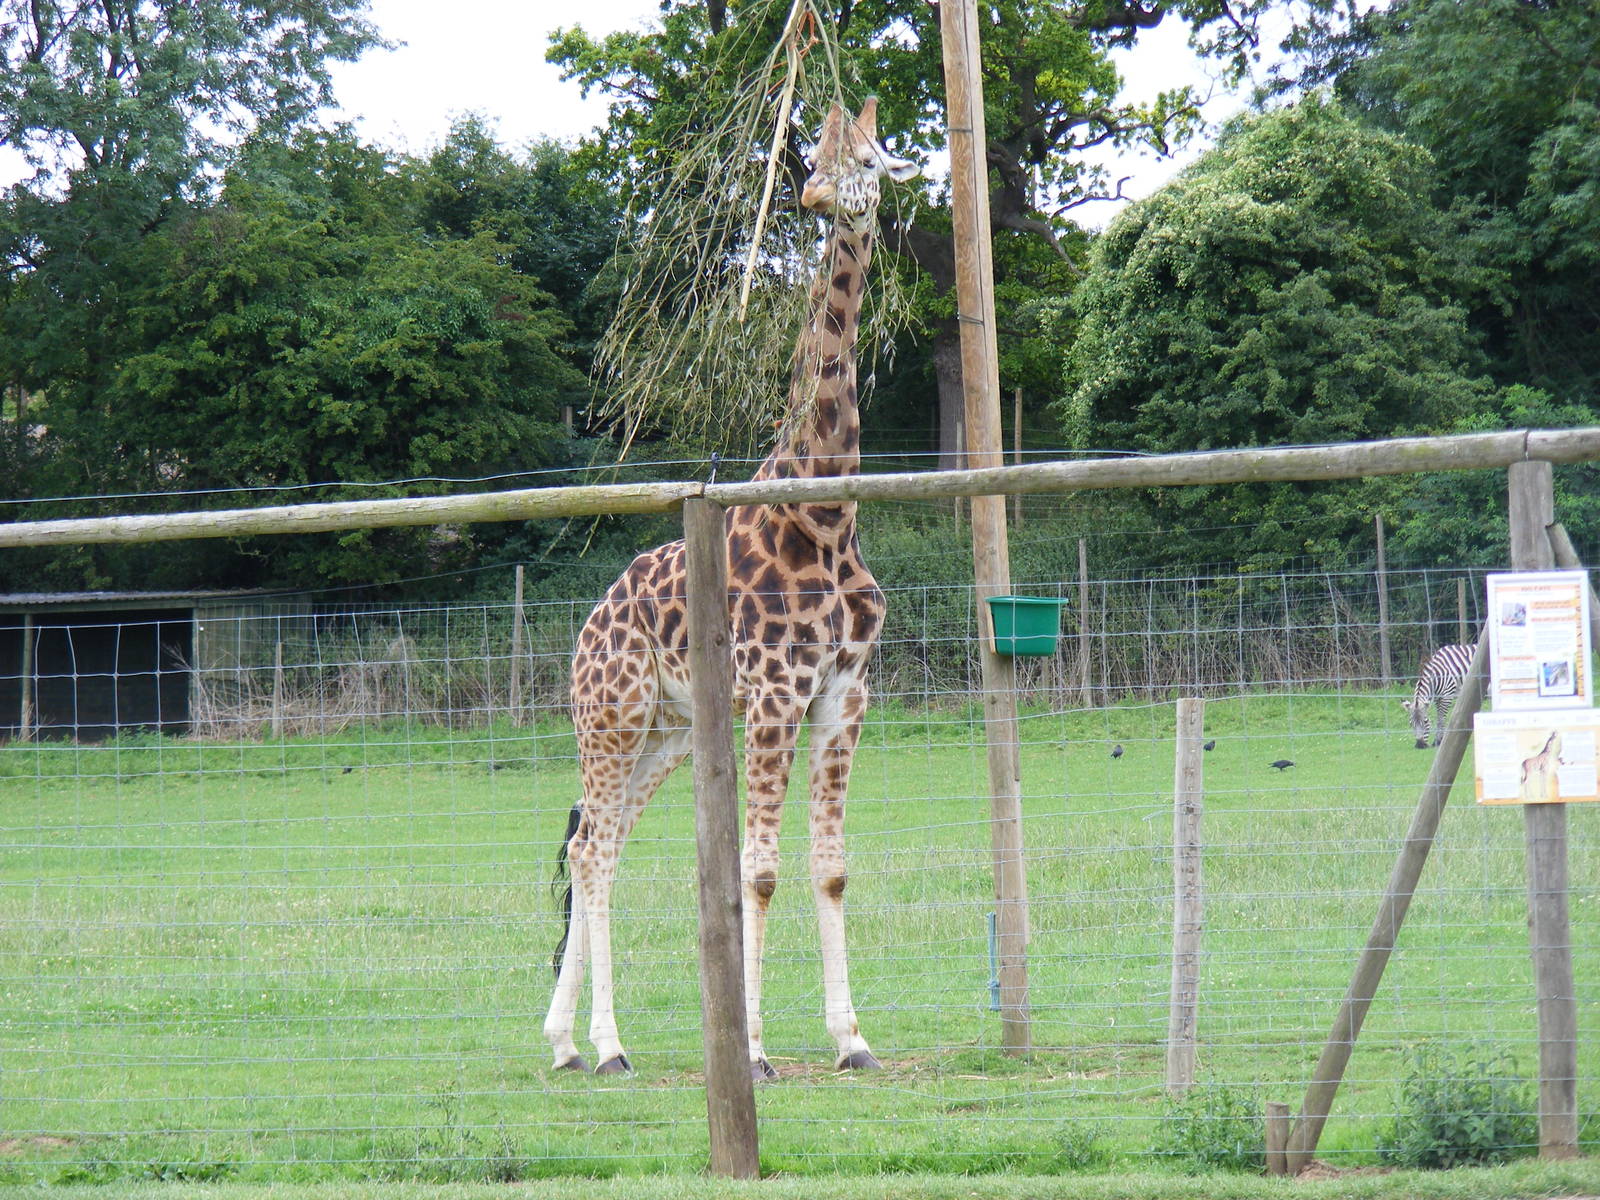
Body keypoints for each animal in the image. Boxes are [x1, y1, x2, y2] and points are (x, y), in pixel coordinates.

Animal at [543, 99, 918, 1080]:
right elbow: (756, 870)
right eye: (811, 153)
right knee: (592, 849)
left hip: (666, 735)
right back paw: (607, 1047)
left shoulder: (844, 695)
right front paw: (750, 1050)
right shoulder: (775, 697)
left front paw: (852, 1040)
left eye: (871, 159)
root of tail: (590, 621)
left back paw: (563, 1041)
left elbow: (828, 866)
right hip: (611, 718)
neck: (826, 514)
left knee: (597, 843)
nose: (818, 197)